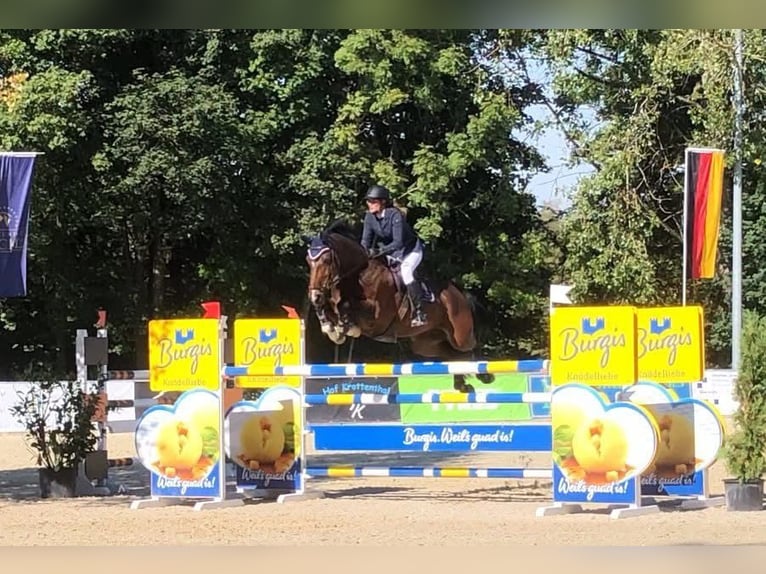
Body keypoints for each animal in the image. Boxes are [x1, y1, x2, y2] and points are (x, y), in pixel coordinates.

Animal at [306, 218, 498, 394]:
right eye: (309, 260)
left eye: (326, 260)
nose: (314, 295)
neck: (358, 275)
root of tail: (459, 295)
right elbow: (332, 308)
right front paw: (330, 327)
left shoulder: (378, 318)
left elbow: (346, 306)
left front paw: (346, 328)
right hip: (425, 343)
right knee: (453, 356)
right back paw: (462, 384)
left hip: (460, 335)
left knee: (470, 348)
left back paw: (484, 375)